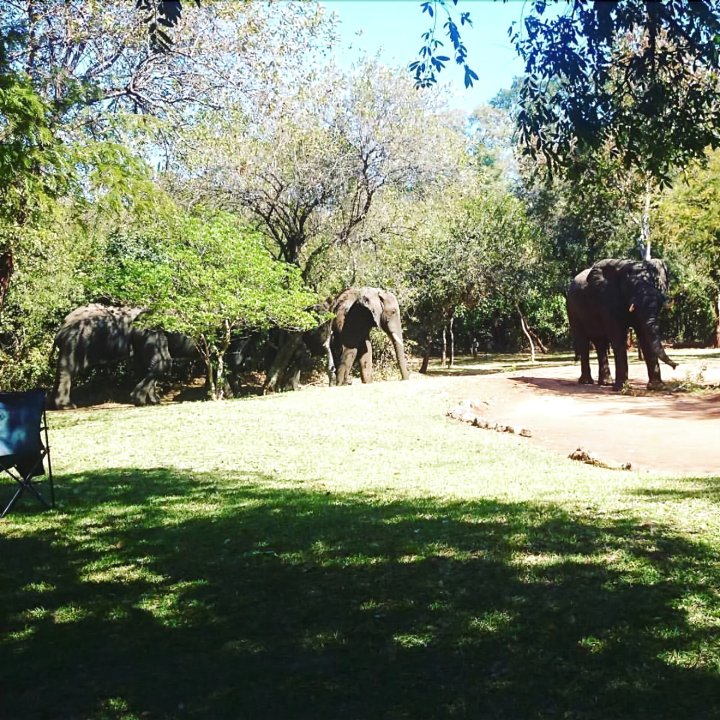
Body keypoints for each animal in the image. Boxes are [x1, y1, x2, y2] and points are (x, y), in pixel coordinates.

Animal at [564, 258, 676, 390]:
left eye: (657, 284)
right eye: (631, 286)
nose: (675, 366)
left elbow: (645, 336)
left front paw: (656, 387)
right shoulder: (607, 300)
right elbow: (617, 336)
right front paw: (622, 388)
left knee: (600, 342)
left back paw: (605, 383)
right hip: (571, 308)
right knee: (583, 342)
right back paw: (587, 382)